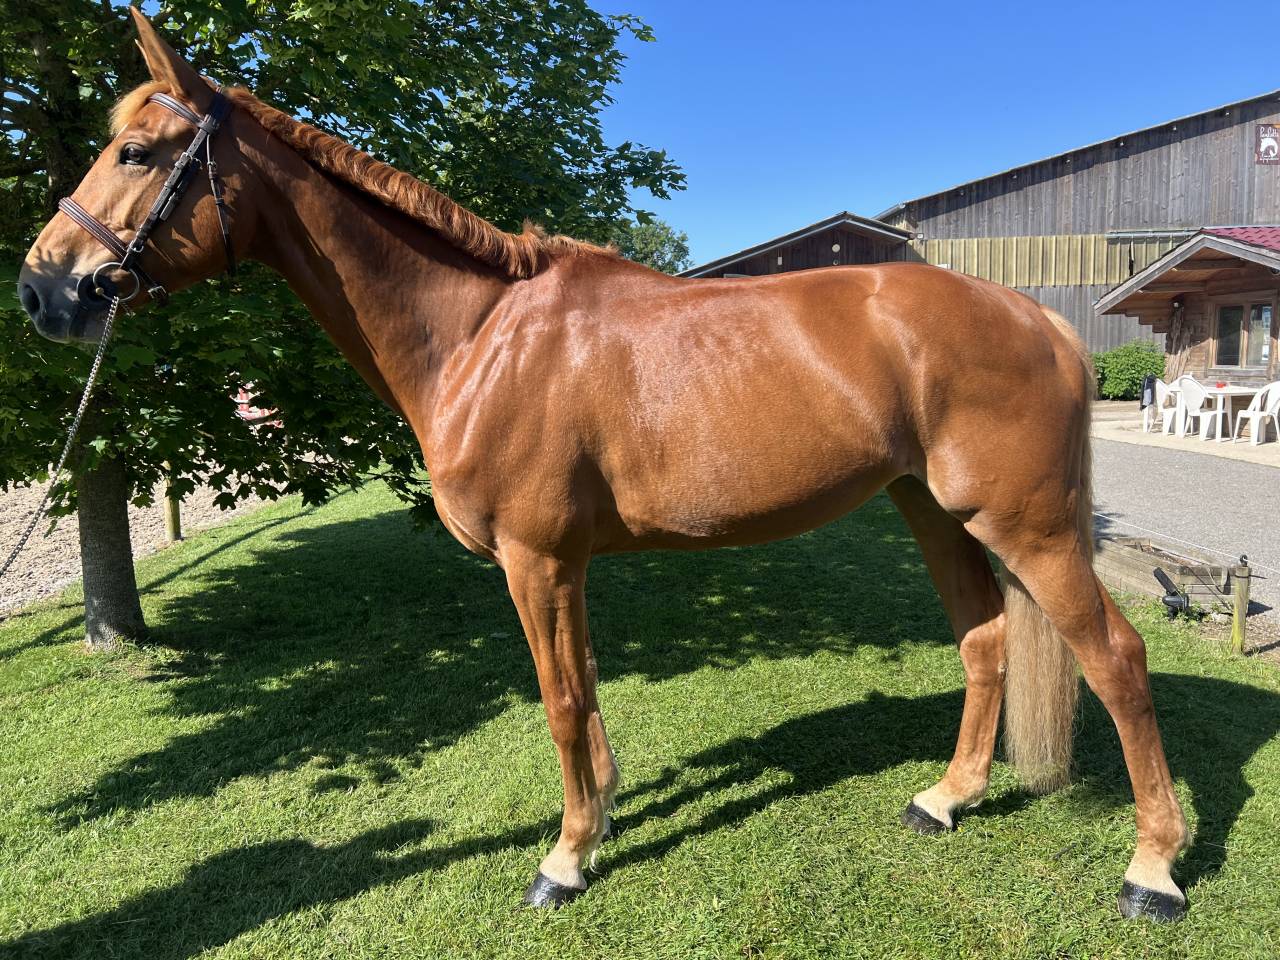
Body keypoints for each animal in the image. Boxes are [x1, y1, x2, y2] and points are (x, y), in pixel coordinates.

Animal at [18, 8, 1189, 921]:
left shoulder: (536, 561)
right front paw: (601, 820)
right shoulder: (563, 566)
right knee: (984, 638)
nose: (42, 290)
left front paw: (565, 859)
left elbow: (559, 702)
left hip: (1025, 523)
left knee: (1116, 659)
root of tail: (1038, 317)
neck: (481, 335)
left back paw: (1152, 870)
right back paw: (946, 799)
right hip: (930, 508)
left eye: (136, 153)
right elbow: (581, 694)